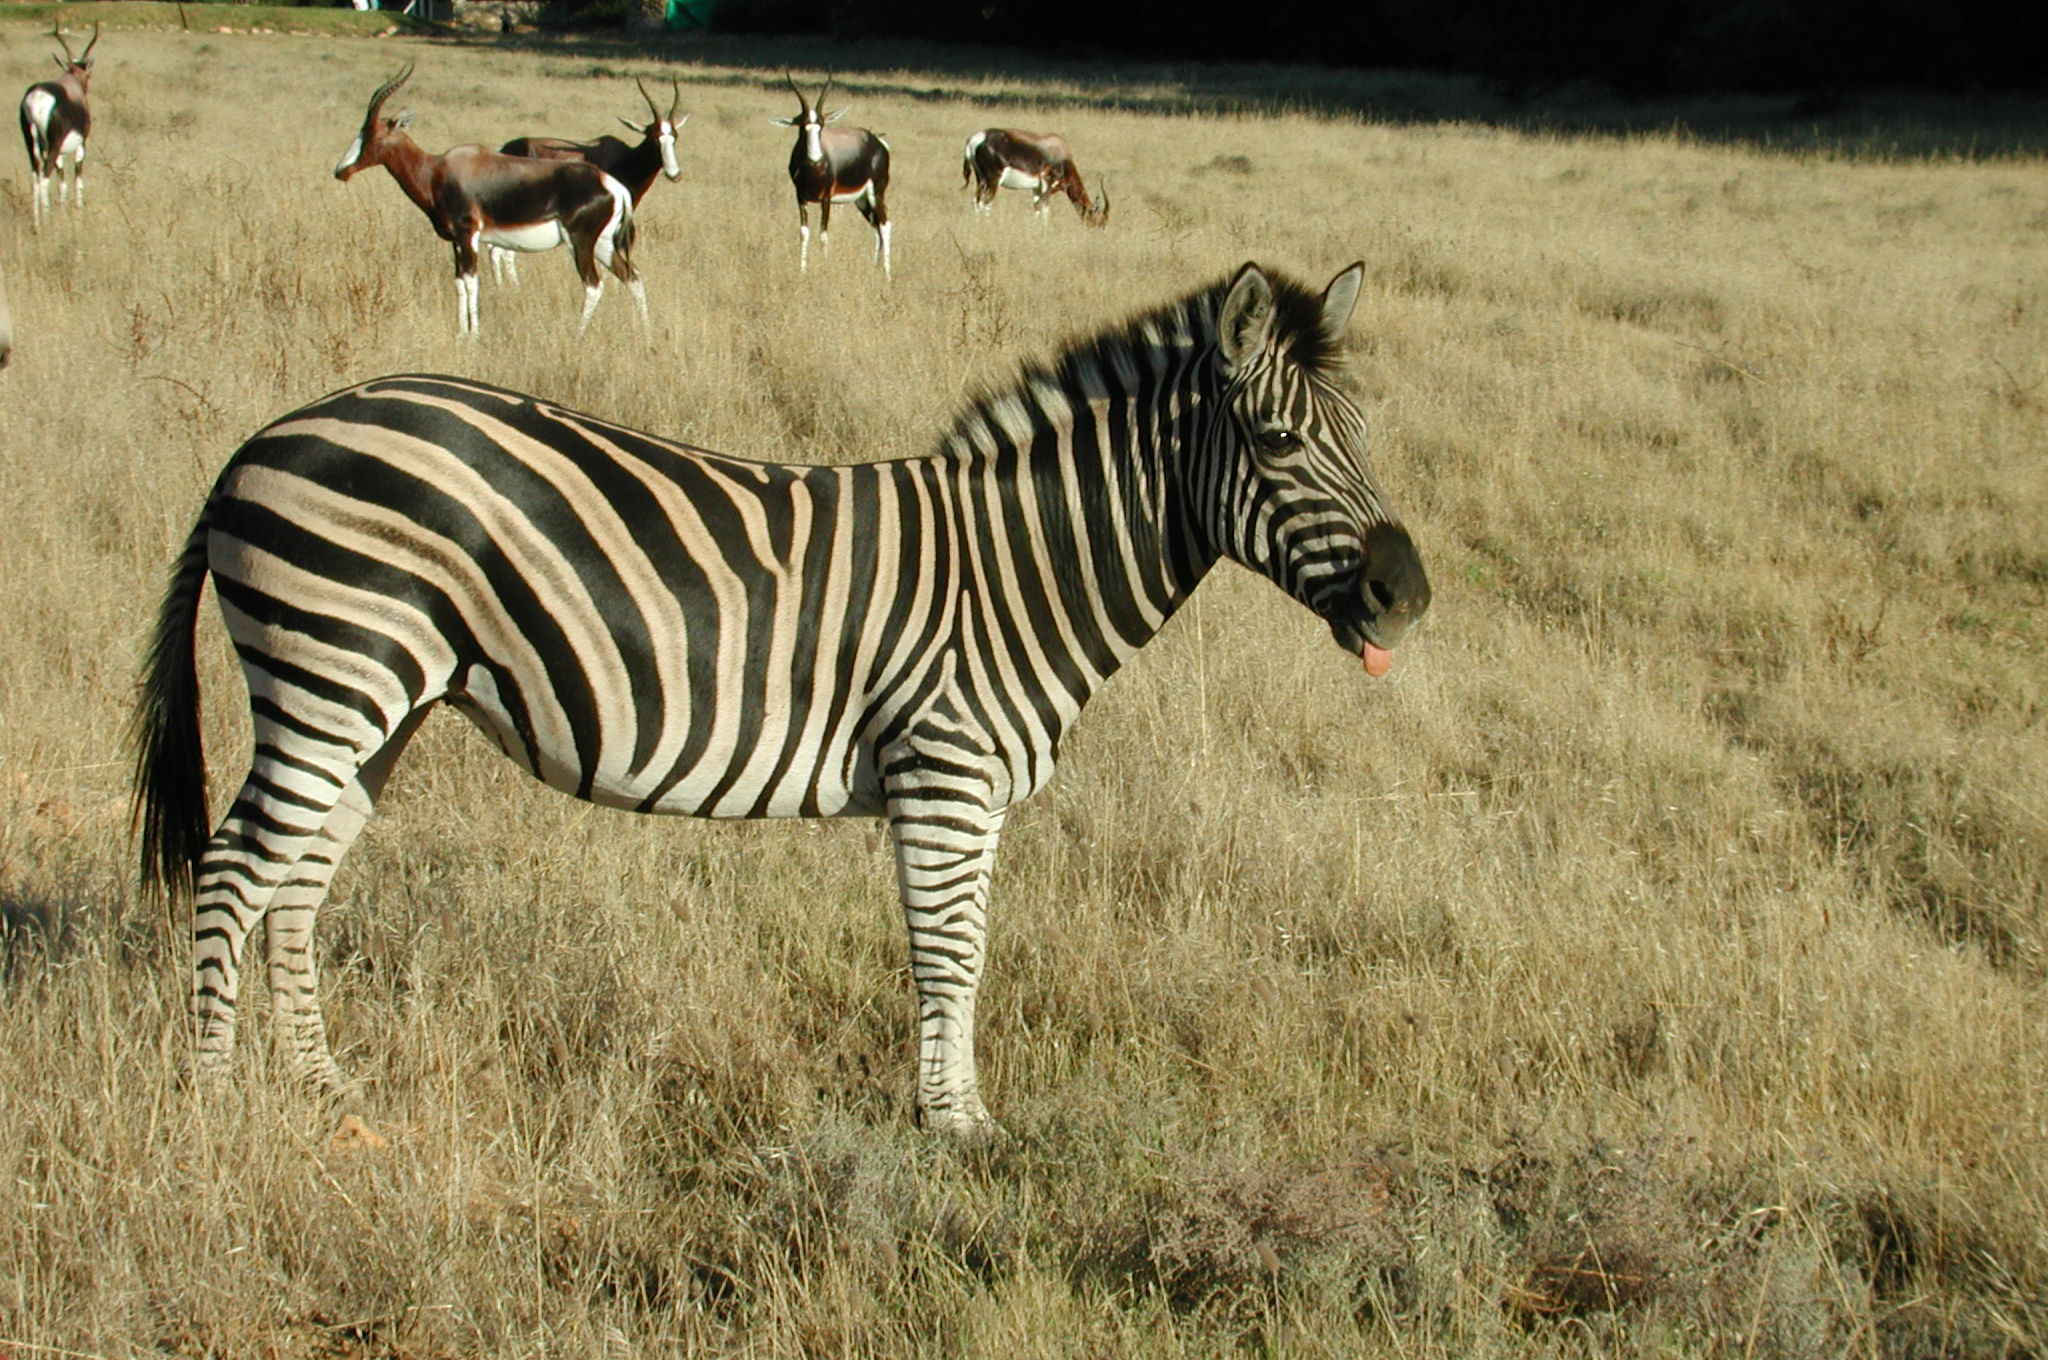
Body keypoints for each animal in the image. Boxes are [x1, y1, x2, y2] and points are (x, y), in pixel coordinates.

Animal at [136, 258, 1433, 1138]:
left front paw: (960, 1111)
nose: (1407, 594)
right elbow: (949, 952)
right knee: (235, 869)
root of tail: (266, 436)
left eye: (1364, 432)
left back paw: (321, 1085)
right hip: (330, 673)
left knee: (298, 880)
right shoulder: (942, 772)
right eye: (1276, 441)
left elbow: (970, 947)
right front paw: (955, 1130)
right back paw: (212, 1102)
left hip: (377, 704)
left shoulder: (973, 794)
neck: (1015, 568)